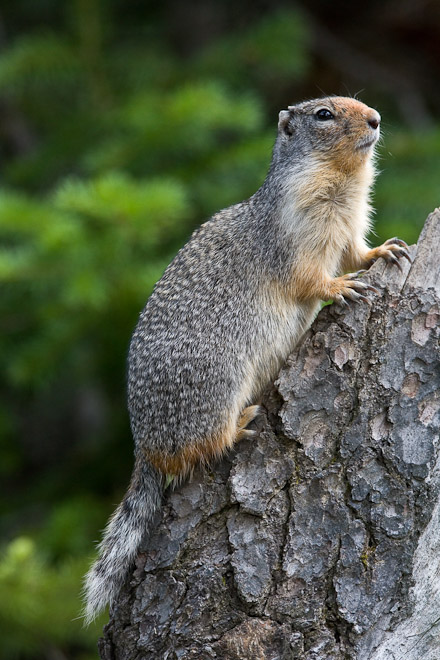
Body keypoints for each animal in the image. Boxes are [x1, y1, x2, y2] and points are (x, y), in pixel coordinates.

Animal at [83, 94, 412, 624]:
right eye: (324, 114)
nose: (377, 118)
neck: (341, 184)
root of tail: (143, 448)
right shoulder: (297, 230)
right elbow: (312, 275)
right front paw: (341, 287)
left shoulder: (348, 227)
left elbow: (356, 252)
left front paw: (387, 250)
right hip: (219, 383)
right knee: (202, 448)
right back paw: (242, 422)